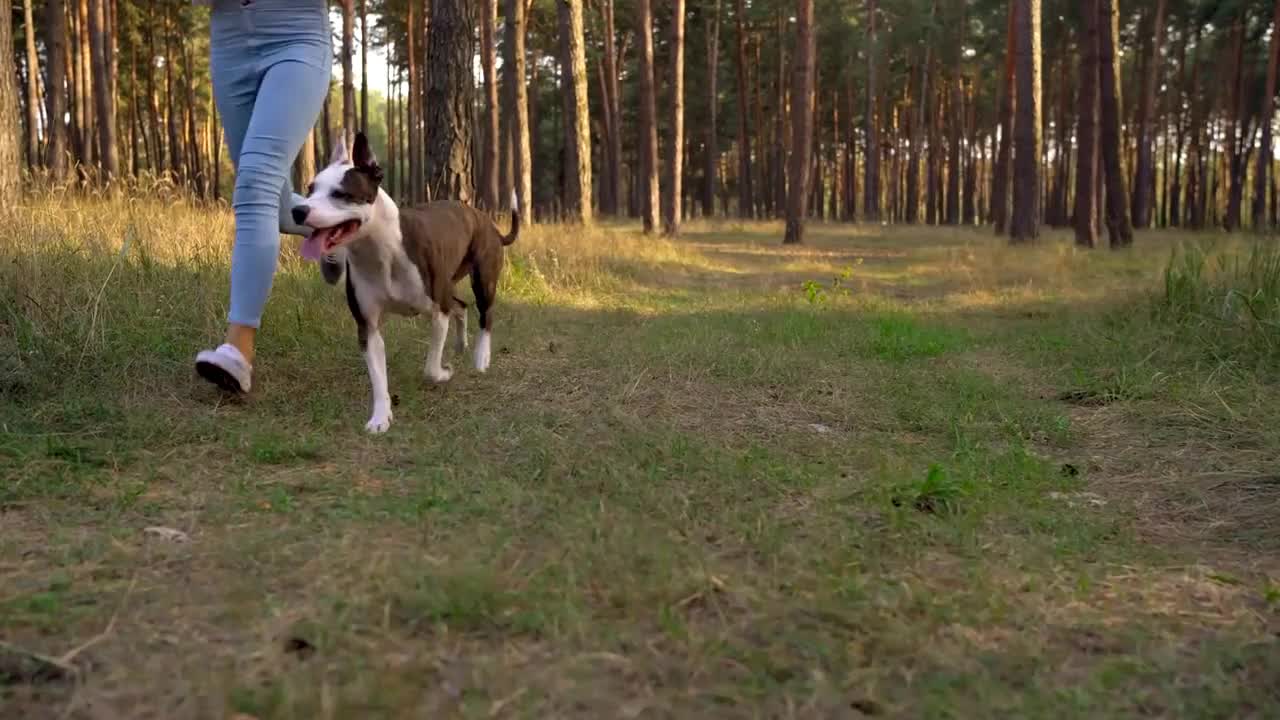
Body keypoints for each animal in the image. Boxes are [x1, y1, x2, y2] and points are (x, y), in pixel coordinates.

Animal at [294, 131, 519, 430]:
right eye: (310, 189)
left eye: (341, 194)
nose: (298, 210)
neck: (380, 250)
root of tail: (487, 221)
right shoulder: (368, 327)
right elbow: (378, 379)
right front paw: (380, 417)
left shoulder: (438, 310)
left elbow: (431, 368)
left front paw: (444, 373)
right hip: (451, 285)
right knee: (461, 306)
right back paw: (460, 344)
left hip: (483, 279)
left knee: (485, 315)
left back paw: (481, 357)